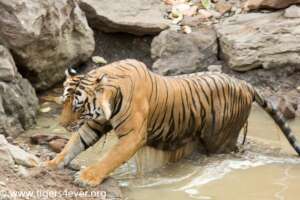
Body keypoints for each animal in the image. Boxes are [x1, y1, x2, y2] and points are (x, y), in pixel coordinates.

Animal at [44, 58, 300, 187]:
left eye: (78, 107)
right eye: (63, 103)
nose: (63, 125)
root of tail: (245, 84)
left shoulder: (133, 135)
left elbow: (110, 157)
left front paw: (88, 177)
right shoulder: (94, 124)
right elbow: (73, 145)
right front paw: (51, 163)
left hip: (221, 140)